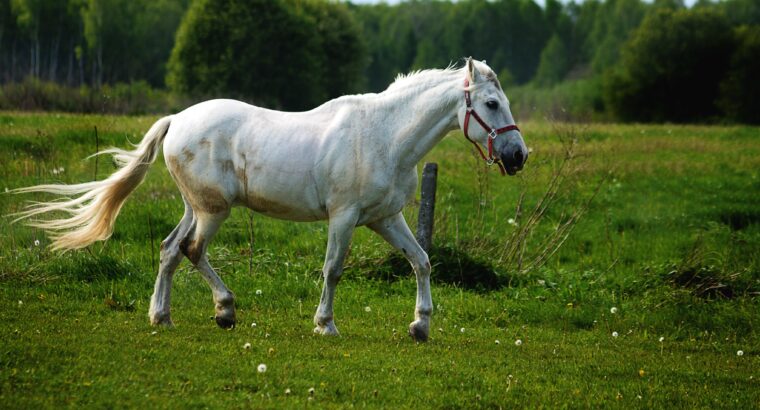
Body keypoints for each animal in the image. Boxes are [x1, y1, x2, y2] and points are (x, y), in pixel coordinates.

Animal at [17, 56, 528, 340]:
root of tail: (177, 119)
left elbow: (421, 261)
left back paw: (161, 316)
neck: (384, 136)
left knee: (169, 250)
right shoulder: (344, 217)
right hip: (214, 211)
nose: (518, 155)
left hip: (196, 207)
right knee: (191, 250)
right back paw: (224, 311)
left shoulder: (386, 218)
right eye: (490, 104)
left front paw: (420, 326)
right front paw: (325, 325)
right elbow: (333, 269)